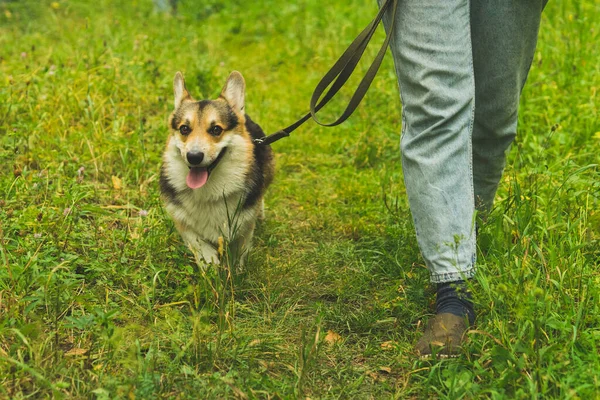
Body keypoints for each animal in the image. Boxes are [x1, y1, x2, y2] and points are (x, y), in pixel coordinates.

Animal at [158, 72, 274, 266]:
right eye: (184, 128)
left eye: (215, 129)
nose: (194, 156)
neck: (207, 192)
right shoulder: (181, 221)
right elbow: (197, 241)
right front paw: (210, 263)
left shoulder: (244, 224)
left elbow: (240, 248)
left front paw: (235, 269)